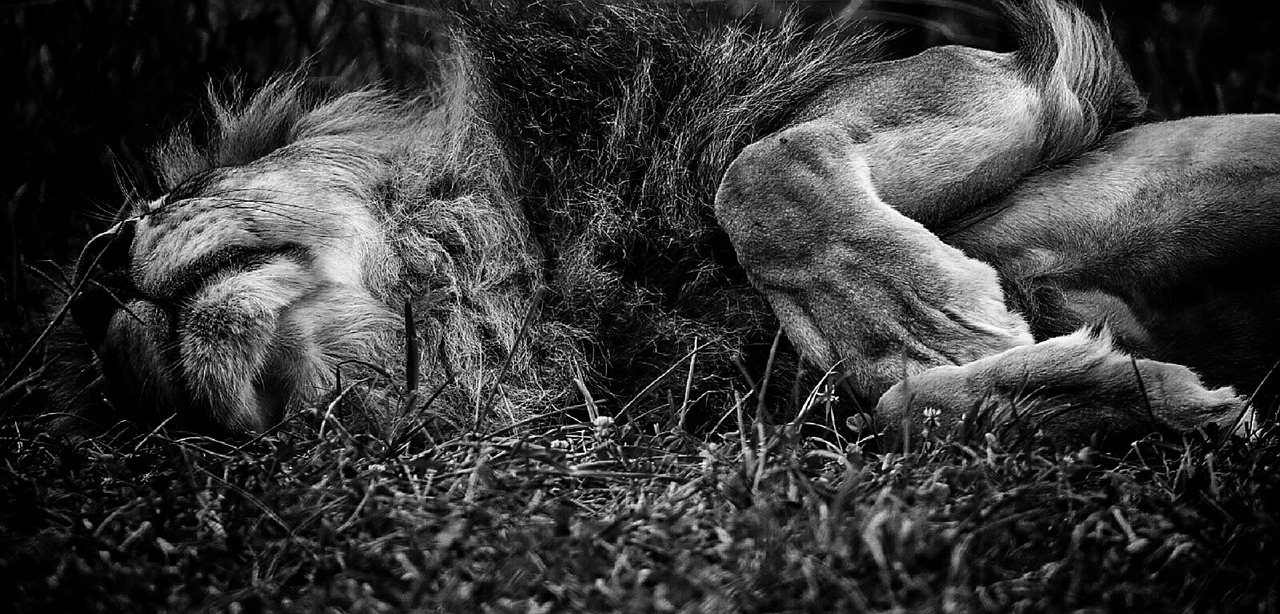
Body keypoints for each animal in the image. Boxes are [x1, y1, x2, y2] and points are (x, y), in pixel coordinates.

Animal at [62, 0, 1269, 442]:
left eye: (159, 201)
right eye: (153, 409)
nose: (95, 287)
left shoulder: (1028, 83)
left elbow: (757, 168)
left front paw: (923, 317)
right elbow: (899, 407)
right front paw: (1128, 397)